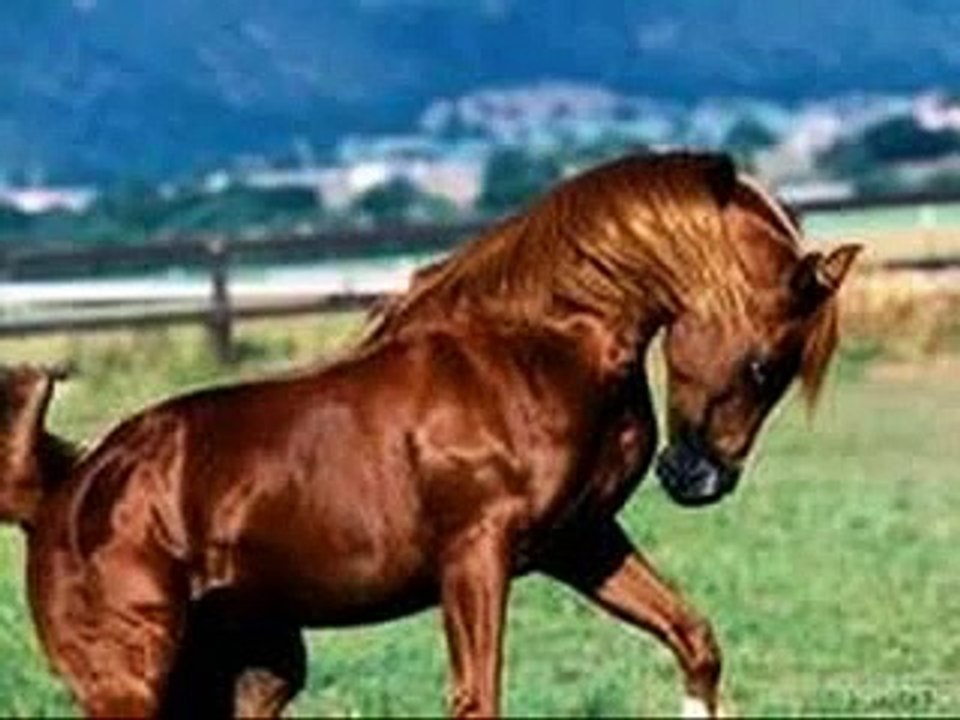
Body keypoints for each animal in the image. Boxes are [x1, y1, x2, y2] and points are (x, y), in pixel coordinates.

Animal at [0, 152, 859, 718]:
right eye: (763, 363)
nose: (698, 479)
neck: (534, 351)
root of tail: (61, 493)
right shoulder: (475, 555)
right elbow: (478, 699)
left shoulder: (580, 542)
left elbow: (694, 638)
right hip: (133, 681)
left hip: (256, 671)